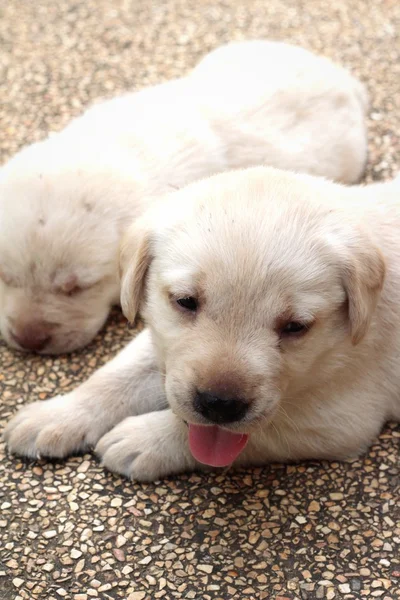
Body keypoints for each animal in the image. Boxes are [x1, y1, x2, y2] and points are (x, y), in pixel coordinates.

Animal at [3, 166, 400, 480]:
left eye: (295, 326)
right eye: (185, 301)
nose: (219, 404)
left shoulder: (340, 417)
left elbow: (256, 433)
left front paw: (143, 439)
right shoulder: (159, 337)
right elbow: (116, 375)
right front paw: (57, 414)